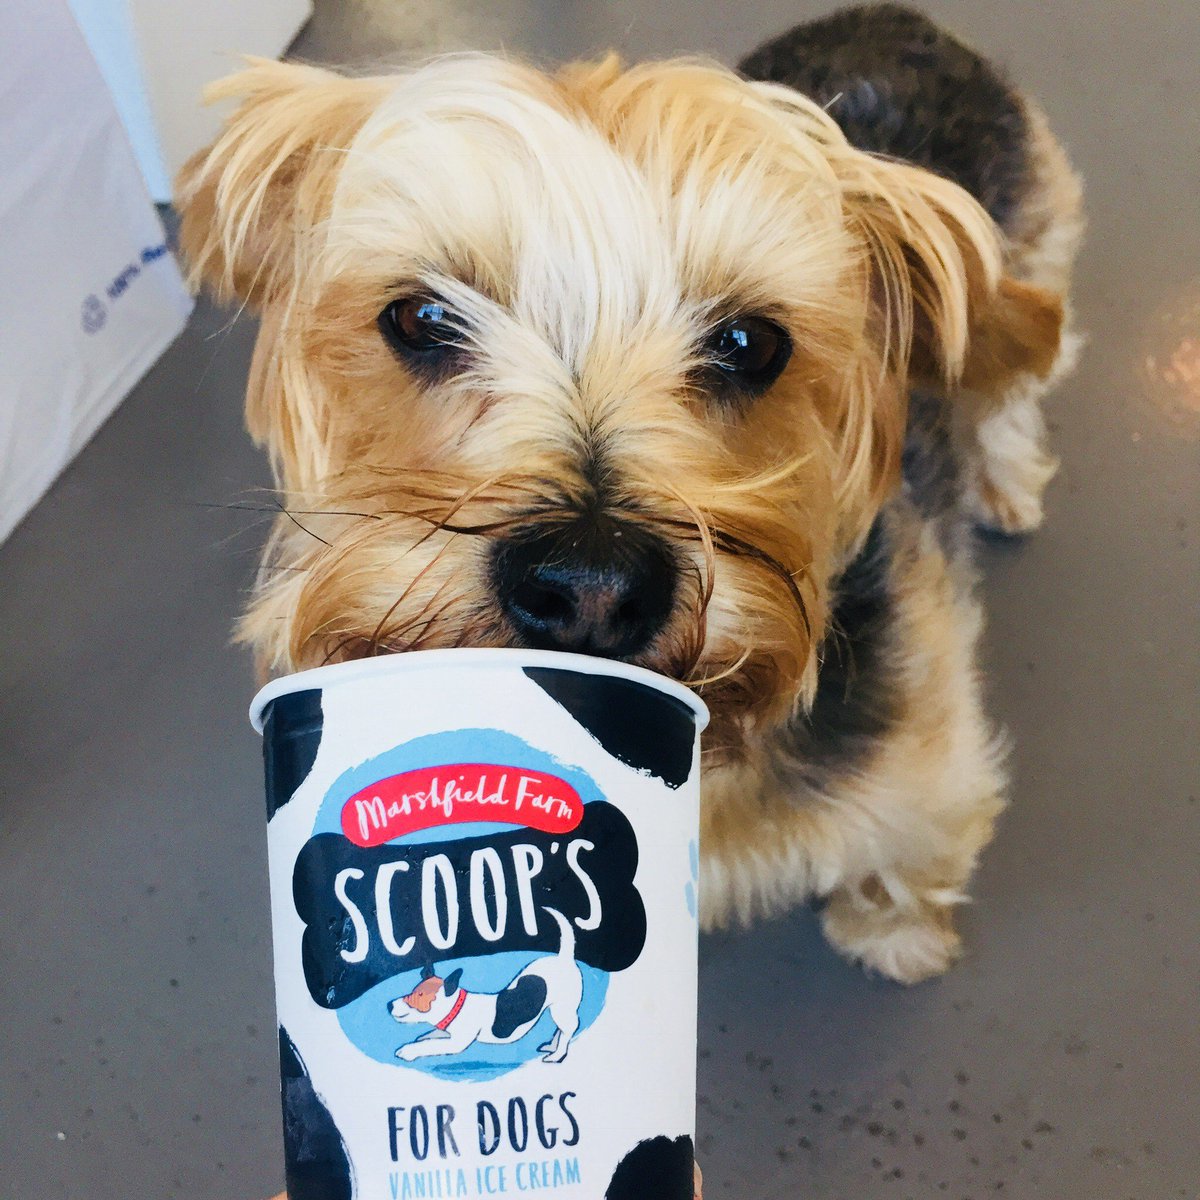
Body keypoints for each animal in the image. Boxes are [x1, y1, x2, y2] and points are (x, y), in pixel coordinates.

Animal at [180, 2, 1089, 993]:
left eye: (749, 343)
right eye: (423, 318)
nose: (590, 584)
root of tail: (890, 16)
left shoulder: (927, 766)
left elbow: (908, 854)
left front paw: (895, 938)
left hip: (1031, 257)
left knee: (1013, 383)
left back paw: (1004, 481)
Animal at [391, 902, 583, 1065]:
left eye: (420, 995)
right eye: (414, 990)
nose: (389, 1005)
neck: (456, 1007)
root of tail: (564, 958)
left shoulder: (457, 1042)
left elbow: (430, 1045)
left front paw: (408, 1050)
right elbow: (432, 1035)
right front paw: (425, 1036)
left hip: (562, 1008)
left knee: (569, 1028)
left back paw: (557, 1054)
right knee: (562, 1028)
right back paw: (551, 1046)